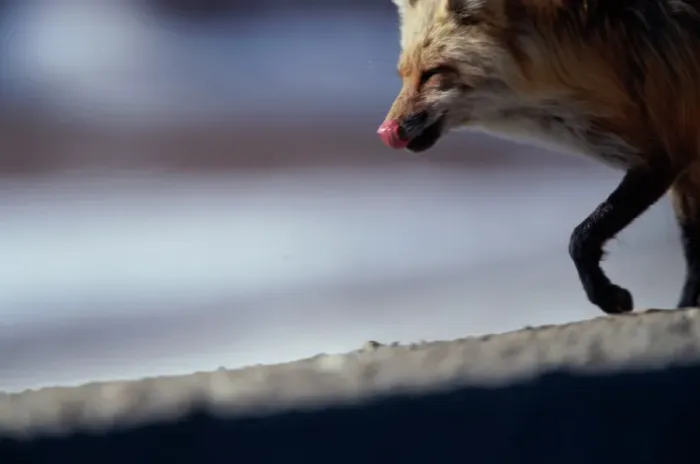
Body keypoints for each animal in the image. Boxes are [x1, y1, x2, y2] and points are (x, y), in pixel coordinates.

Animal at [377, 0, 700, 314]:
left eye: (432, 73)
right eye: (403, 76)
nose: (386, 131)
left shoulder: (665, 153)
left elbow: (581, 238)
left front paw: (608, 295)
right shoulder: (676, 163)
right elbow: (691, 248)